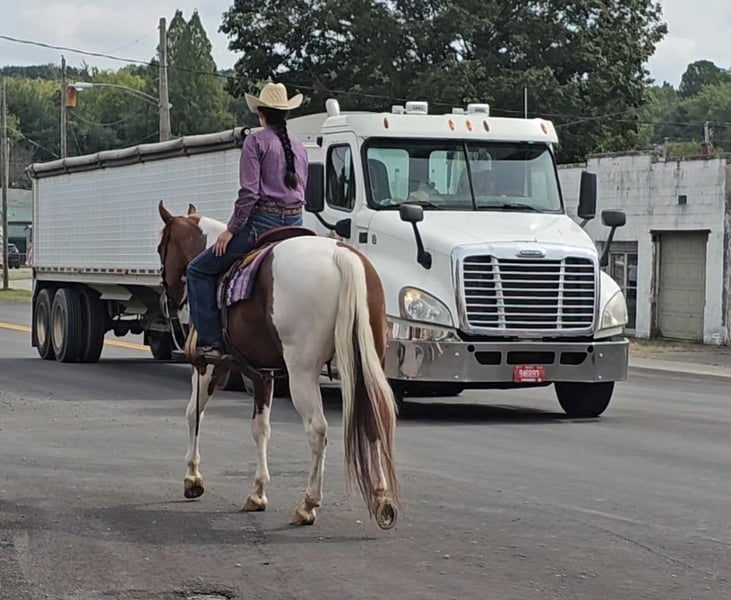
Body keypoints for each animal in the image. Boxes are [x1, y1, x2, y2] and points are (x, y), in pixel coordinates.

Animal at [156, 201, 400, 529]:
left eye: (161, 248)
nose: (167, 299)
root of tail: (342, 255)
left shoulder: (210, 366)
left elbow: (194, 413)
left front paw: (193, 478)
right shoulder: (263, 373)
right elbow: (261, 428)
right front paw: (258, 492)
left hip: (302, 372)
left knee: (317, 430)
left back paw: (308, 504)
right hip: (369, 360)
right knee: (374, 419)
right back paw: (381, 498)